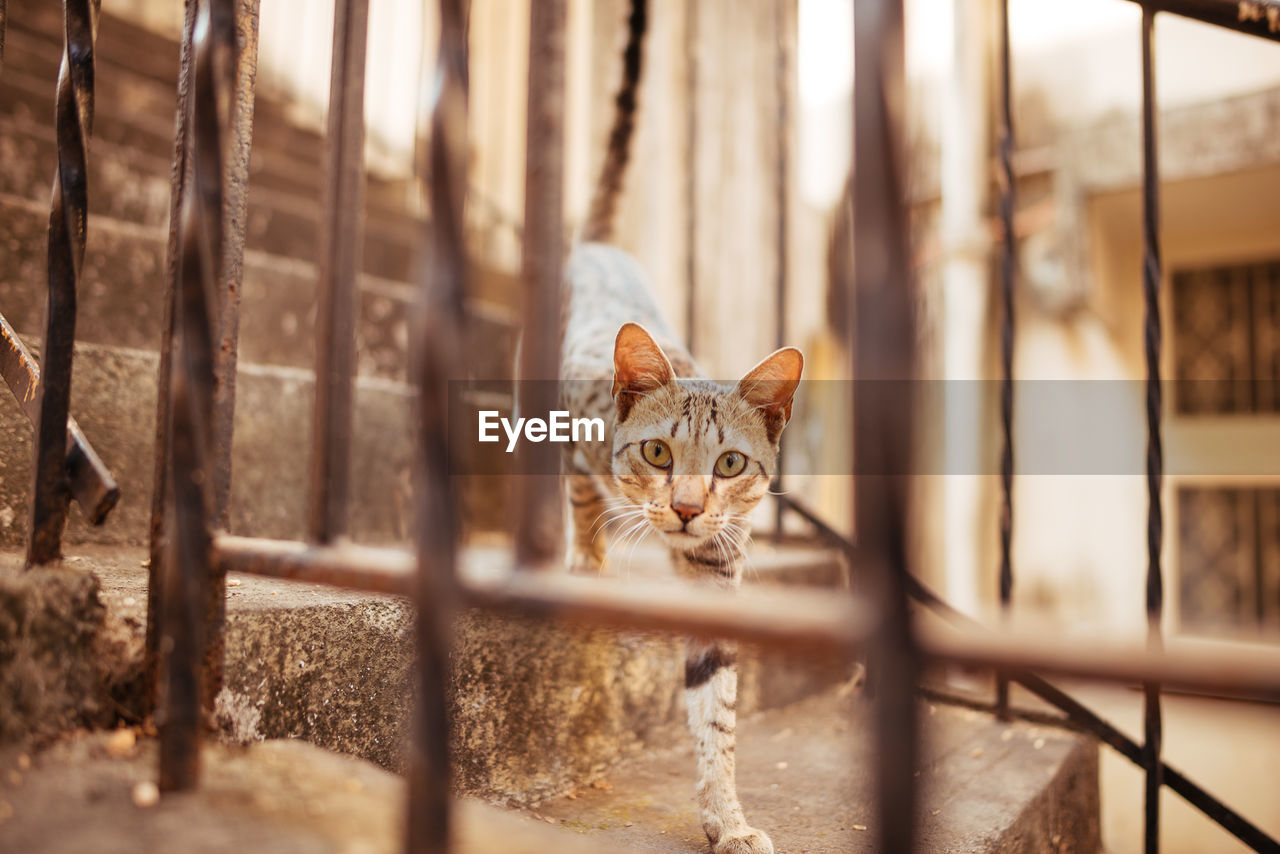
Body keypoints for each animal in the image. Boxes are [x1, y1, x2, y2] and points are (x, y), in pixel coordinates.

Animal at [558, 1, 798, 850]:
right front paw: (588, 559)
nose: (689, 508)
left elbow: (715, 715)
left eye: (730, 465)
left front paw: (727, 815)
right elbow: (584, 499)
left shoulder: (718, 576)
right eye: (658, 452)